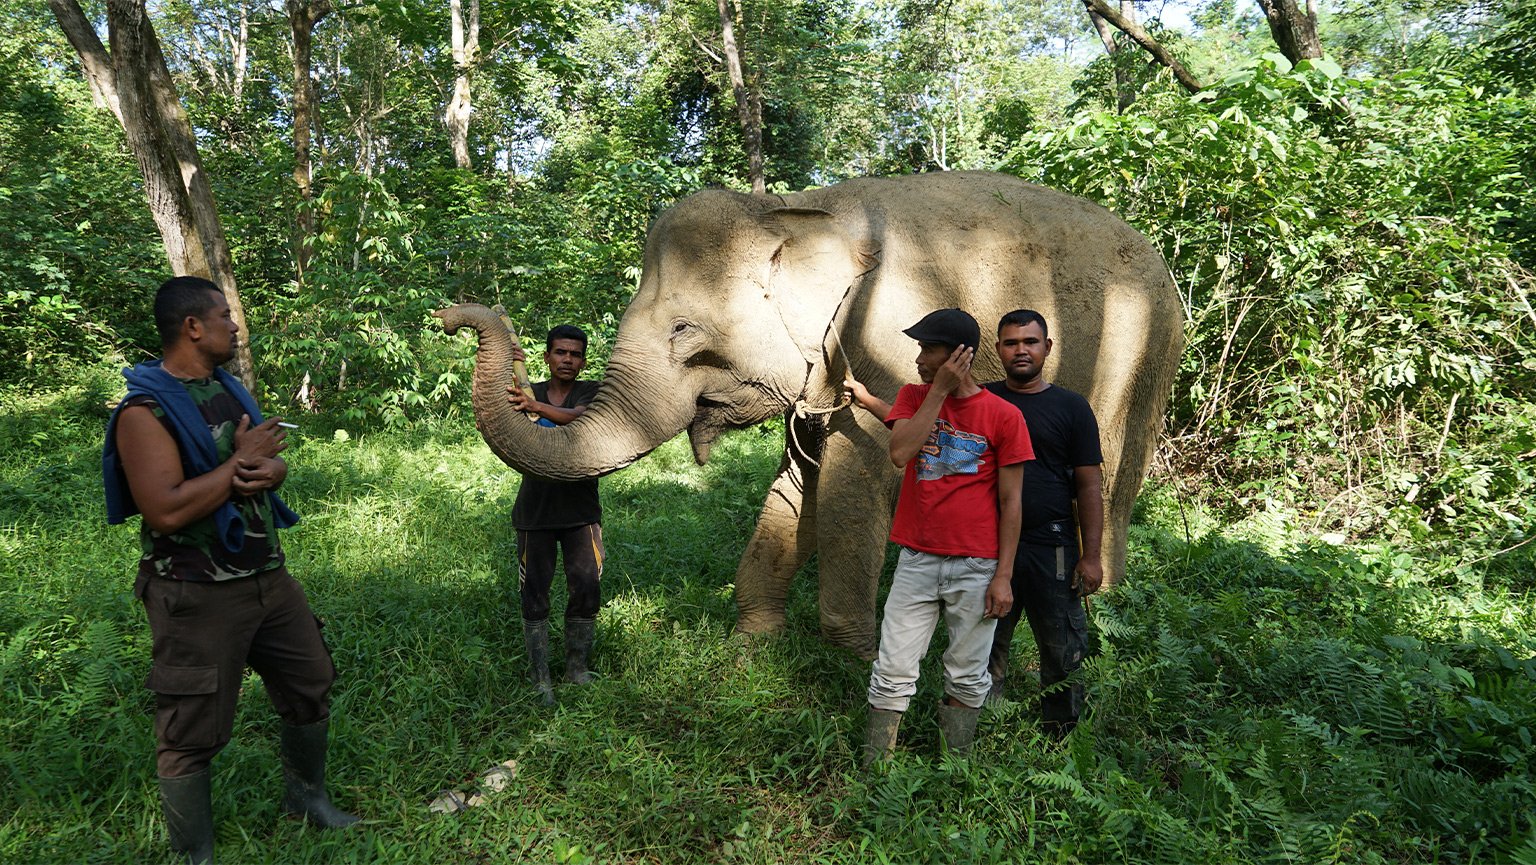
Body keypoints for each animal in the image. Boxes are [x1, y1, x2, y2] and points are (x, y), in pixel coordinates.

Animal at [439, 169, 1179, 660]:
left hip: (1145, 354)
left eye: (684, 331)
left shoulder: (889, 346)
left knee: (1110, 475)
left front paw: (853, 659)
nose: (452, 315)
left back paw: (1099, 604)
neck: (796, 212)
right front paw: (751, 643)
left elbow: (856, 483)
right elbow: (799, 483)